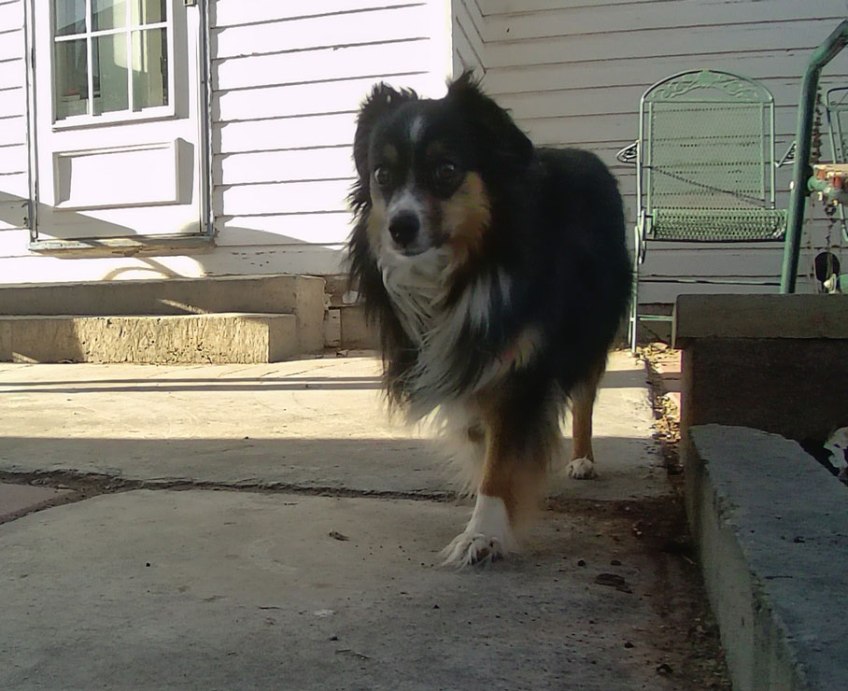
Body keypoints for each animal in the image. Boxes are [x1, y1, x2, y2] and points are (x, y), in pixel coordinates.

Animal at [347, 73, 632, 566]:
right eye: (382, 175)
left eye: (446, 170)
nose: (400, 228)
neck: (467, 268)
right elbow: (483, 435)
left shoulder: (524, 365)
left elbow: (501, 459)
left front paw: (483, 533)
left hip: (591, 329)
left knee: (584, 397)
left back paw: (583, 458)